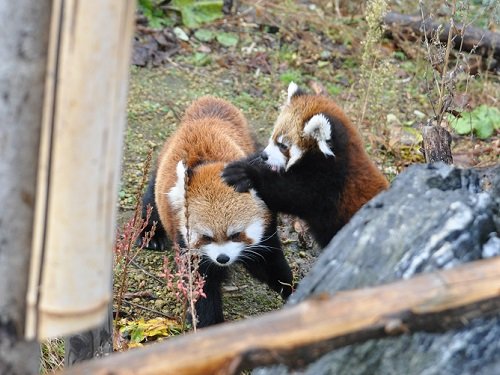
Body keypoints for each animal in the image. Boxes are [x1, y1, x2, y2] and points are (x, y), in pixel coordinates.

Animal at [138, 97, 292, 328]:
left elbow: (271, 264)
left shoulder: (265, 230)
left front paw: (292, 289)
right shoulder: (188, 245)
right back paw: (150, 234)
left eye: (236, 234)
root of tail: (208, 104)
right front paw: (210, 324)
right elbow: (202, 287)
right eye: (206, 237)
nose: (222, 258)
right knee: (151, 201)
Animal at [223, 81, 390, 247]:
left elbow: (288, 193)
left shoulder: (328, 184)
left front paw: (246, 174)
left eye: (283, 146)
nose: (264, 155)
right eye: (272, 138)